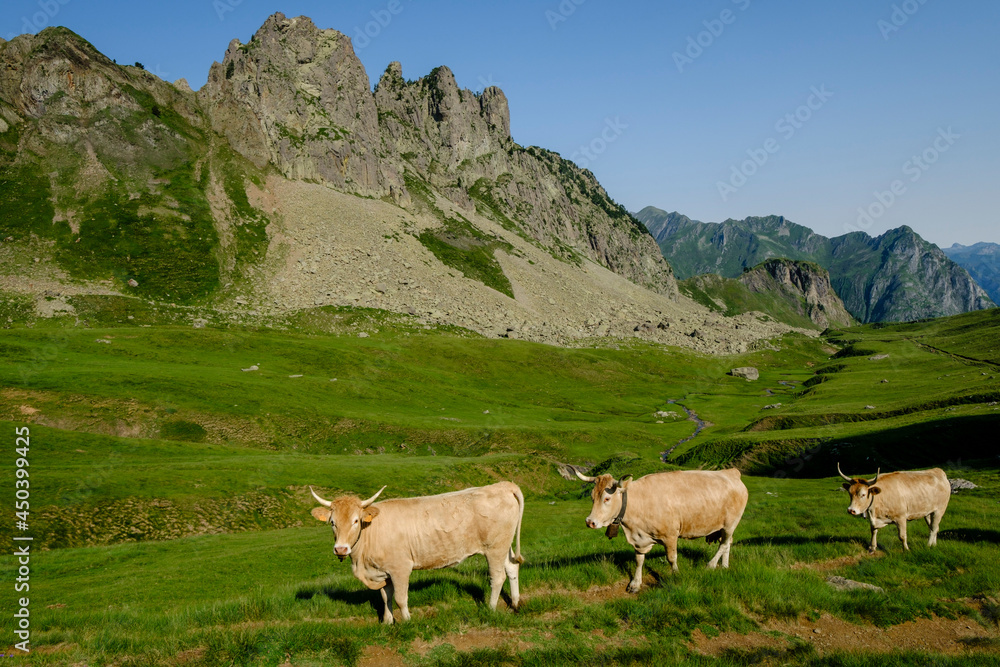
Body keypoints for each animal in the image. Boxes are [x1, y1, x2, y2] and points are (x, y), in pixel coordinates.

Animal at [309, 481, 524, 624]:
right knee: (512, 567)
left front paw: (407, 621)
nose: (341, 548)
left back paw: (491, 608)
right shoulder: (383, 572)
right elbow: (386, 597)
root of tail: (503, 485)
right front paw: (387, 622)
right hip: (504, 545)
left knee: (497, 577)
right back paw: (515, 604)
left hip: (494, 548)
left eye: (356, 520)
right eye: (332, 522)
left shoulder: (401, 568)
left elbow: (400, 598)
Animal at [575, 469, 748, 592]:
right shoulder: (640, 540)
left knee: (724, 545)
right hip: (722, 527)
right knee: (727, 543)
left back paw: (711, 565)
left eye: (607, 498)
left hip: (731, 523)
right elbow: (639, 560)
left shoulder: (670, 535)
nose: (590, 522)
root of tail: (731, 472)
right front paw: (635, 583)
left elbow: (672, 558)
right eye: (592, 497)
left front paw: (676, 575)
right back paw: (724, 566)